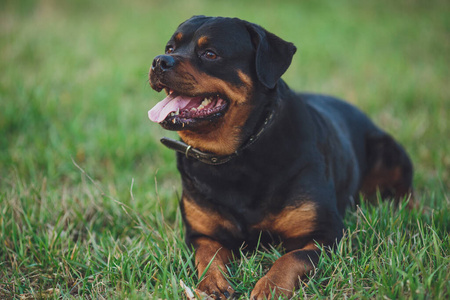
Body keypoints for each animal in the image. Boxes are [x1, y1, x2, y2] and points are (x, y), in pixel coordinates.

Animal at [148, 15, 414, 298]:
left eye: (210, 54)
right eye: (170, 48)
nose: (159, 61)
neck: (236, 157)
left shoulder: (327, 233)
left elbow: (292, 258)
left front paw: (270, 286)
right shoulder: (200, 234)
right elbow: (208, 255)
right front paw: (212, 284)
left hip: (390, 151)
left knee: (407, 190)